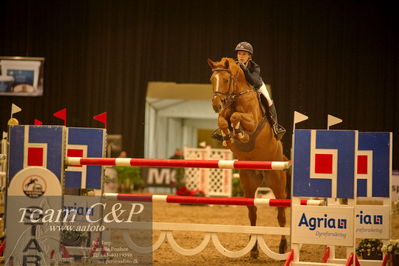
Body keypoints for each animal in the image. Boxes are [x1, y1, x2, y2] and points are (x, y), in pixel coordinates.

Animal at [208, 57, 290, 258]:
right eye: (212, 79)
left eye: (226, 80)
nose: (216, 105)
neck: (235, 97)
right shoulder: (223, 114)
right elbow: (223, 120)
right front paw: (226, 135)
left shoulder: (252, 120)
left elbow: (237, 117)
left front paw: (239, 133)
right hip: (248, 181)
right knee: (252, 213)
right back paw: (253, 250)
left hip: (277, 181)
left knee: (281, 214)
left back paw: (283, 247)